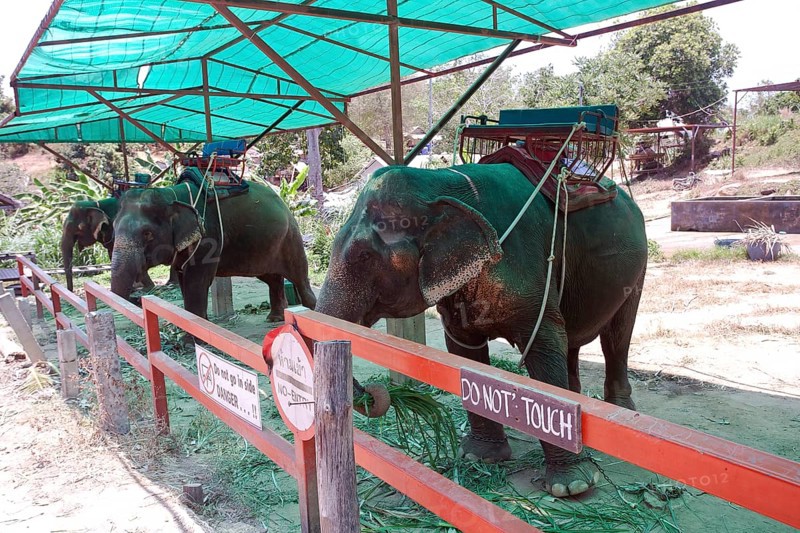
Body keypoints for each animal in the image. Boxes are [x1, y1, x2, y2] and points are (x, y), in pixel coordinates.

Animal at [109, 176, 316, 321]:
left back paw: (313, 311)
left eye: (147, 233)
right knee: (272, 278)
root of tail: (283, 202)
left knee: (299, 277)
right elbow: (184, 279)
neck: (171, 195)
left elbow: (196, 281)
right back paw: (275, 318)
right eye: (113, 227)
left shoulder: (208, 236)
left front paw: (190, 341)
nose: (137, 297)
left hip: (291, 237)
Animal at [315, 163, 647, 498]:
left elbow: (545, 341)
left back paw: (619, 413)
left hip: (637, 270)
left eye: (363, 256)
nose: (376, 393)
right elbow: (466, 353)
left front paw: (572, 486)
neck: (439, 182)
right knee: (573, 340)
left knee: (617, 336)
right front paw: (480, 457)